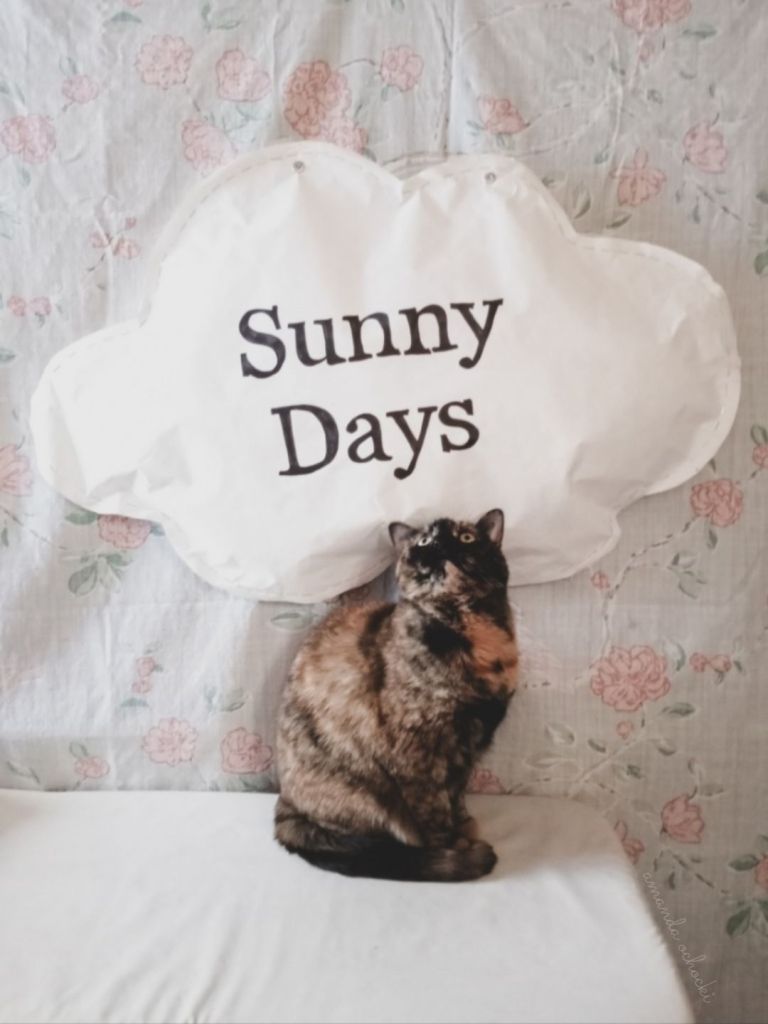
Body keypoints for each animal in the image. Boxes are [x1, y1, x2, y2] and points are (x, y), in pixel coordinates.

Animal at [274, 508, 517, 882]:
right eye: (424, 540)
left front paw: (463, 827)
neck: (476, 635)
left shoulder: (467, 746)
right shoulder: (417, 747)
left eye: (465, 537)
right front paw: (451, 847)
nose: (440, 544)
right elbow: (434, 808)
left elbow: (457, 794)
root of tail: (285, 804)